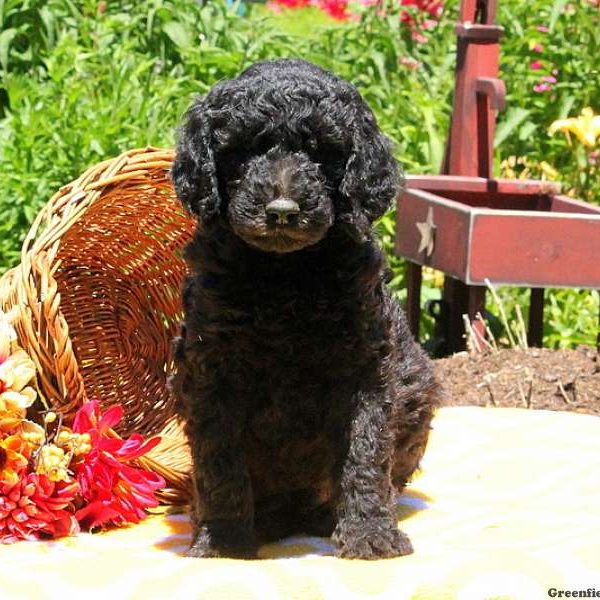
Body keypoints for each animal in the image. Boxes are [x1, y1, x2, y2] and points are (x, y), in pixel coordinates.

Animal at [169, 57, 440, 556]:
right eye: (244, 150)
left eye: (320, 151)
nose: (281, 210)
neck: (284, 273)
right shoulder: (209, 371)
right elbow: (219, 461)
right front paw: (224, 542)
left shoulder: (366, 368)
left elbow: (365, 452)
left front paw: (370, 534)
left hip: (418, 383)